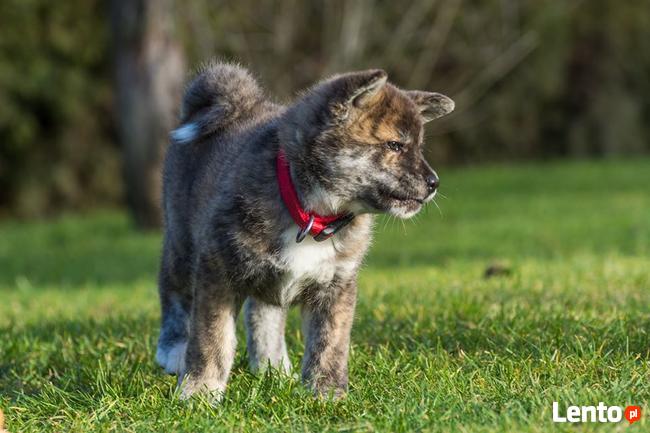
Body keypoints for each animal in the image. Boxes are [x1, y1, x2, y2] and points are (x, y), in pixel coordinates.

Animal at [155, 60, 454, 402]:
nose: (434, 183)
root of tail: (239, 104)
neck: (311, 212)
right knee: (173, 292)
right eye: (394, 145)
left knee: (263, 312)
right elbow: (211, 338)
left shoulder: (337, 285)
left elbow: (329, 343)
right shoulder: (217, 271)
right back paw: (173, 350)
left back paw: (271, 367)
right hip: (181, 242)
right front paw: (200, 391)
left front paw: (326, 393)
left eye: (418, 147)